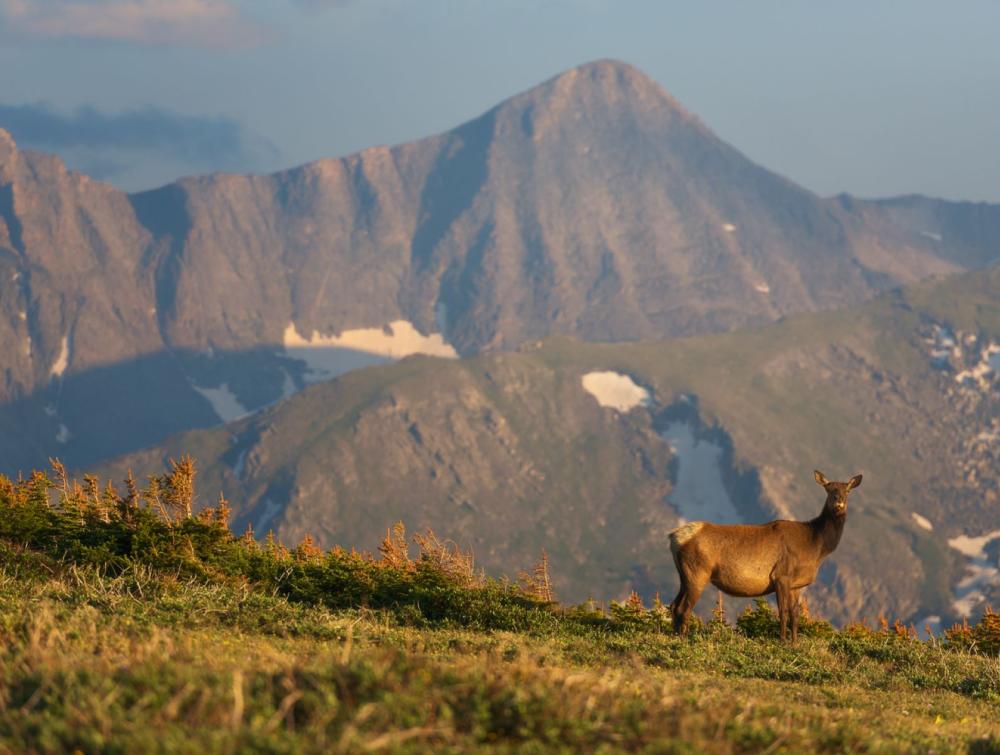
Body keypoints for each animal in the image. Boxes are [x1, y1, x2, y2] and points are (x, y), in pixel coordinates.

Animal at [664, 470, 860, 640]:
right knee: (683, 608)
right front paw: (782, 641)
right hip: (698, 572)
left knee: (674, 605)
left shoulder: (796, 585)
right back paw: (683, 639)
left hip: (684, 574)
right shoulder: (781, 575)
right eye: (829, 489)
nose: (839, 502)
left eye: (847, 491)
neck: (815, 547)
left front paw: (795, 643)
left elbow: (795, 614)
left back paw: (676, 636)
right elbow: (783, 612)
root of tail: (674, 537)